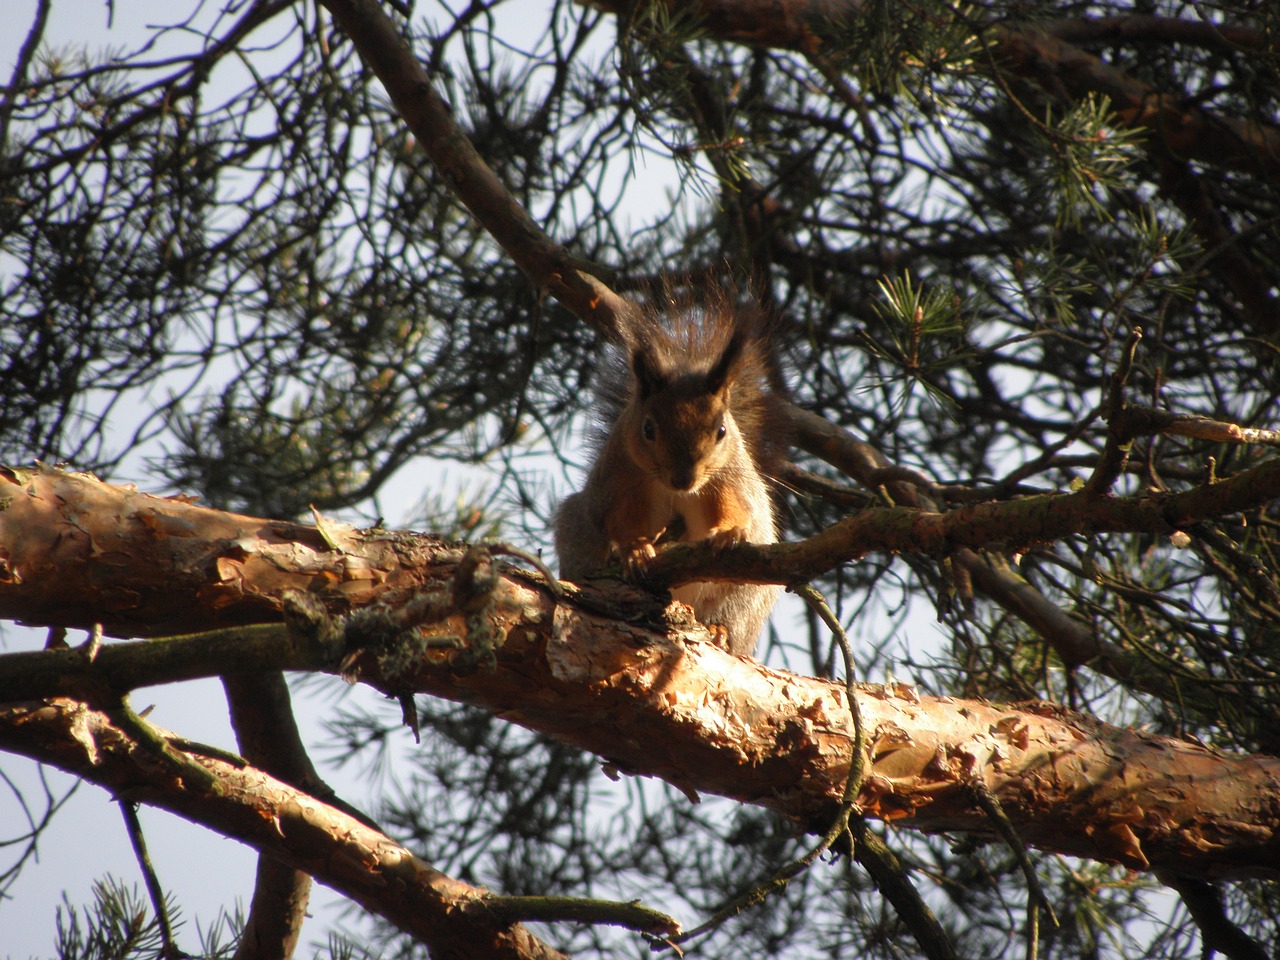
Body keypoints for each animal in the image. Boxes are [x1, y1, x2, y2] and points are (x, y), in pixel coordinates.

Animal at [555, 299, 783, 660]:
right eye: (648, 428)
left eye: (721, 430)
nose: (683, 479)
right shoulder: (617, 482)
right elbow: (617, 519)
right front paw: (635, 549)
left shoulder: (728, 479)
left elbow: (737, 508)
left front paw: (728, 532)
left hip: (747, 595)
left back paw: (719, 630)